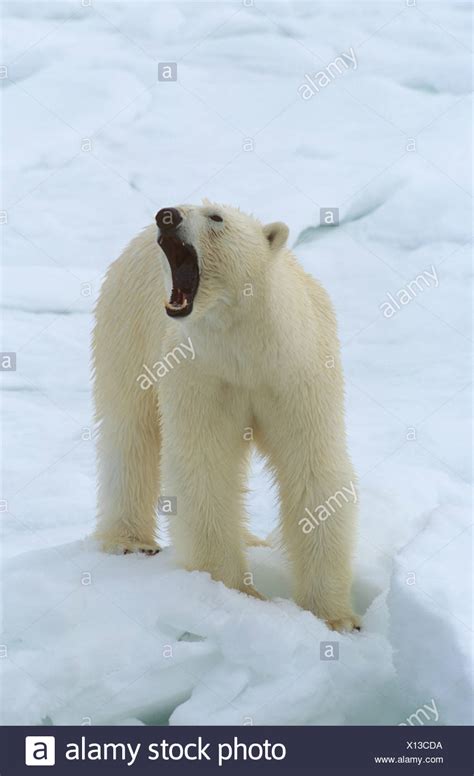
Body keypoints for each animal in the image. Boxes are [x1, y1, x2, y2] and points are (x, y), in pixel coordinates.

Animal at [93, 201, 360, 632]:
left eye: (216, 217)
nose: (167, 216)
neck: (244, 349)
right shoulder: (201, 375)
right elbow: (205, 466)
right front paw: (236, 591)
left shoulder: (295, 374)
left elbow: (312, 468)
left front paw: (336, 618)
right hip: (126, 326)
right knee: (130, 428)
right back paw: (129, 542)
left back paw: (253, 539)